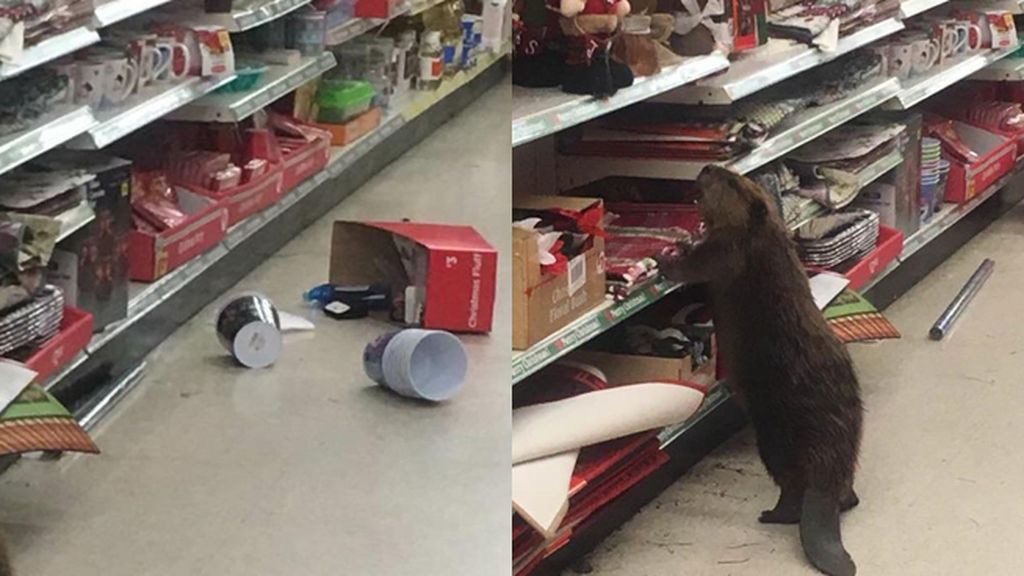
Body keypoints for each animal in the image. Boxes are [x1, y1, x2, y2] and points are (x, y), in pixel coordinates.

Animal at [655, 163, 864, 569]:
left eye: (729, 180)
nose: (705, 168)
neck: (763, 233)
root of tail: (825, 481)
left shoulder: (728, 250)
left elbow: (692, 266)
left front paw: (667, 254)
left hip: (773, 440)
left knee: (790, 489)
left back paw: (771, 514)